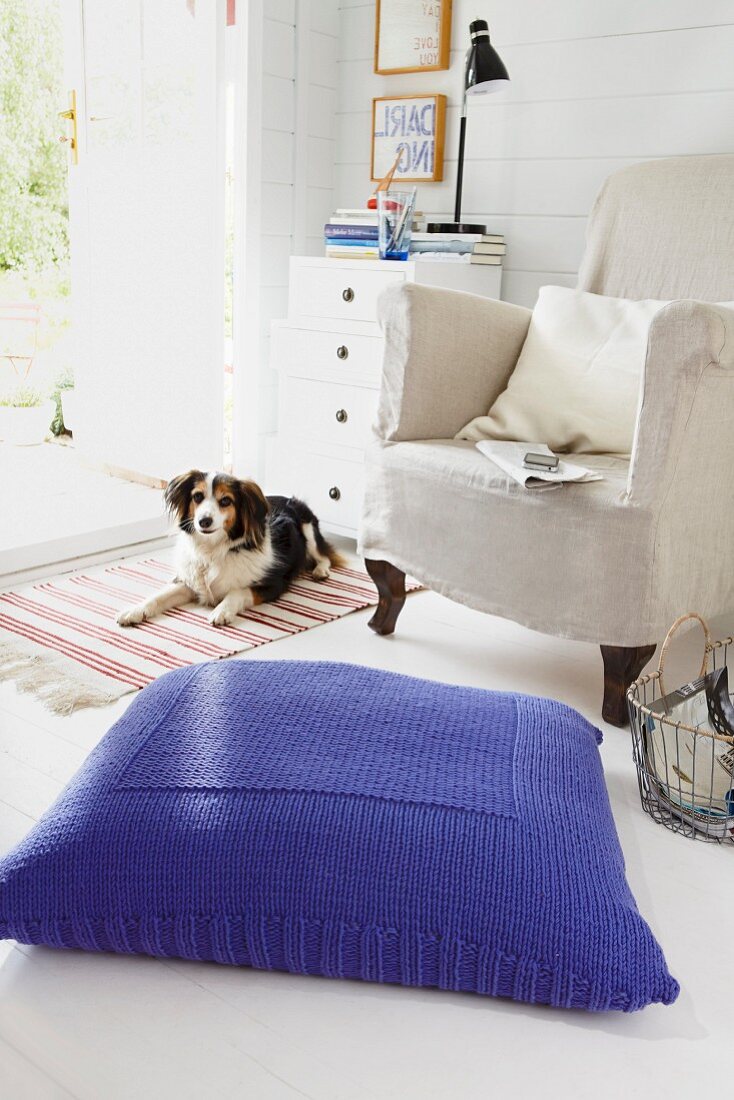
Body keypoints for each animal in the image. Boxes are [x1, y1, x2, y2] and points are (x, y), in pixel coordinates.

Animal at [117, 473, 345, 629]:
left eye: (225, 500)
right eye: (197, 497)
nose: (204, 521)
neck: (213, 549)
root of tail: (286, 497)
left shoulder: (273, 585)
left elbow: (239, 590)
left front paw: (222, 610)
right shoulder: (190, 582)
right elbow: (158, 596)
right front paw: (134, 611)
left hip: (308, 528)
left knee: (323, 555)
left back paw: (320, 571)